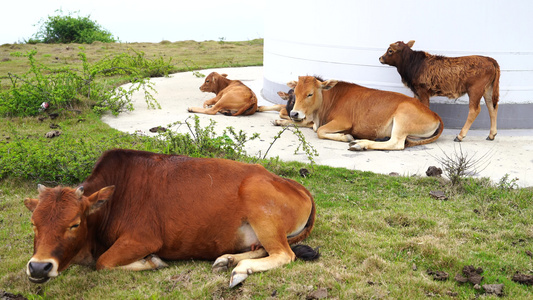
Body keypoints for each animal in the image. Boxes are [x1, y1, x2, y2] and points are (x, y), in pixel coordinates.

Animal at [23, 149, 316, 288]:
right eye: (34, 224)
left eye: (74, 223)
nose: (39, 268)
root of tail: (293, 184)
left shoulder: (143, 239)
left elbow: (103, 262)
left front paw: (152, 262)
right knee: (264, 250)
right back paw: (227, 260)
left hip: (263, 215)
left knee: (284, 254)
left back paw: (241, 269)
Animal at [272, 75, 442, 150]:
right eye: (295, 92)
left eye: (310, 94)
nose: (294, 113)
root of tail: (435, 114)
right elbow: (305, 125)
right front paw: (279, 121)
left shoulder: (343, 122)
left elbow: (320, 131)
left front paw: (346, 136)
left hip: (402, 120)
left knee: (396, 143)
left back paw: (360, 144)